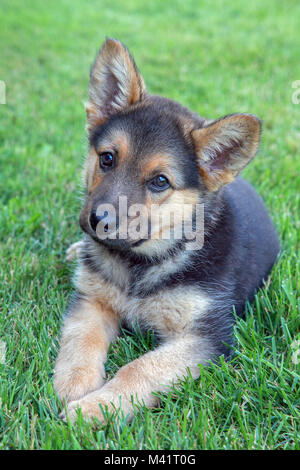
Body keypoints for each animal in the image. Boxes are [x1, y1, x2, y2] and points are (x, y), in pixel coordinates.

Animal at [53, 38, 278, 424]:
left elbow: (139, 370)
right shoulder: (92, 300)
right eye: (107, 158)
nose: (98, 221)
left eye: (160, 181)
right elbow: (81, 339)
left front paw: (93, 409)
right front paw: (74, 384)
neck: (142, 261)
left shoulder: (205, 337)